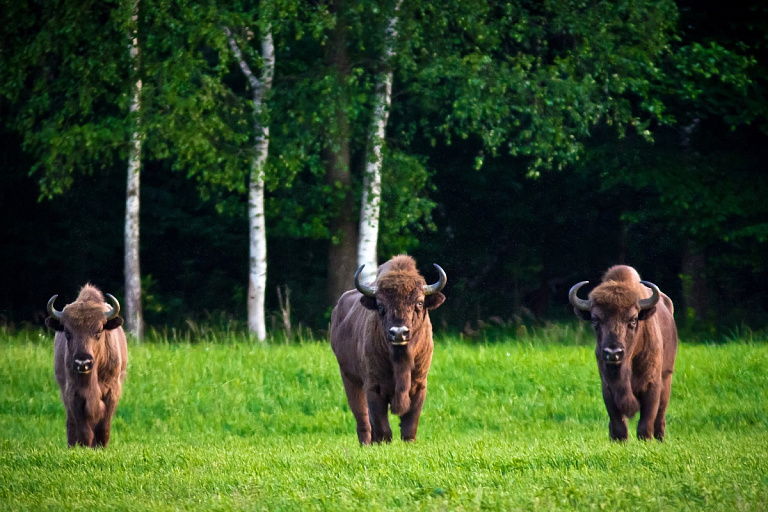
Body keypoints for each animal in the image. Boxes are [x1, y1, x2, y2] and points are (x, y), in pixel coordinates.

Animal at [45, 284, 127, 448]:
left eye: (99, 330)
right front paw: (83, 447)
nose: (83, 362)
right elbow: (83, 428)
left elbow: (103, 426)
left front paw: (100, 447)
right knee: (71, 422)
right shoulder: (74, 393)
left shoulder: (112, 391)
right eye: (67, 331)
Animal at [328, 256, 448, 444]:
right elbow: (382, 428)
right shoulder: (373, 388)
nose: (399, 332)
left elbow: (409, 427)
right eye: (380, 305)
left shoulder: (420, 385)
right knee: (363, 421)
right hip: (350, 379)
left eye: (419, 302)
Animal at [568, 266, 680, 442]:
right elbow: (618, 423)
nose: (613, 353)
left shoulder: (652, 385)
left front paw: (646, 440)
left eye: (633, 319)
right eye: (595, 319)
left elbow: (645, 423)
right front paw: (619, 440)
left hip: (666, 377)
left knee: (660, 416)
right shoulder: (607, 387)